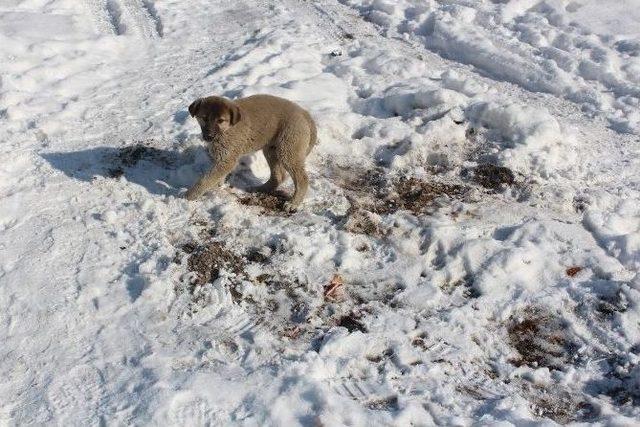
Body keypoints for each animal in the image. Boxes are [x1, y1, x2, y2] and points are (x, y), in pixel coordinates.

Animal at [188, 94, 318, 210]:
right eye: (204, 118)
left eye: (220, 120)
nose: (209, 136)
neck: (228, 128)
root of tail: (304, 113)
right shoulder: (222, 158)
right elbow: (215, 176)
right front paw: (217, 187)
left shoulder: (227, 159)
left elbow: (205, 180)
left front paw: (188, 196)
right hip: (271, 150)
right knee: (278, 176)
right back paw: (260, 188)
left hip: (288, 151)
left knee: (302, 179)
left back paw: (293, 203)